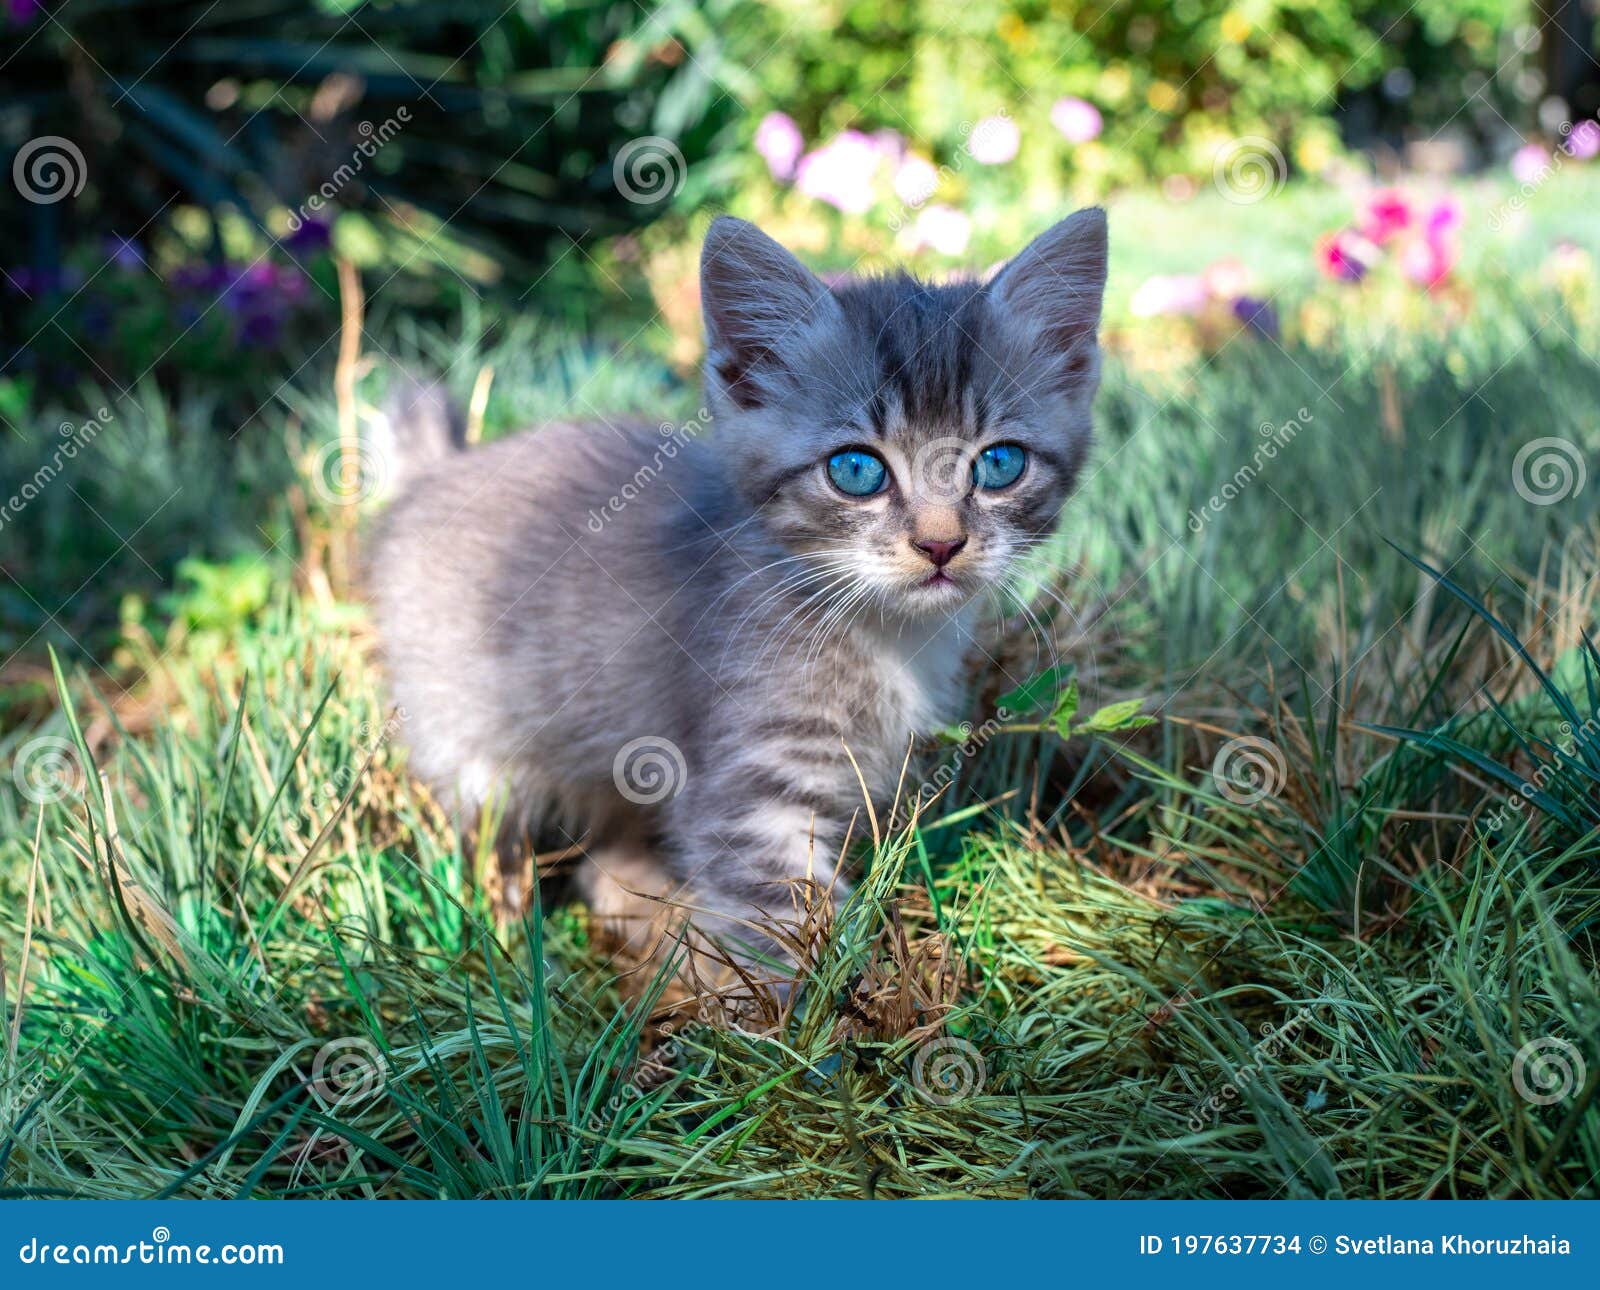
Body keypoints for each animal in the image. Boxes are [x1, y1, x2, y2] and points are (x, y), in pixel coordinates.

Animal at [368, 209, 1107, 979]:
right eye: (856, 470)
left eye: (1000, 463)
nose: (940, 545)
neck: (883, 635)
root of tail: (440, 475)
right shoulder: (751, 789)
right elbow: (780, 936)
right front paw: (807, 1011)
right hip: (470, 739)